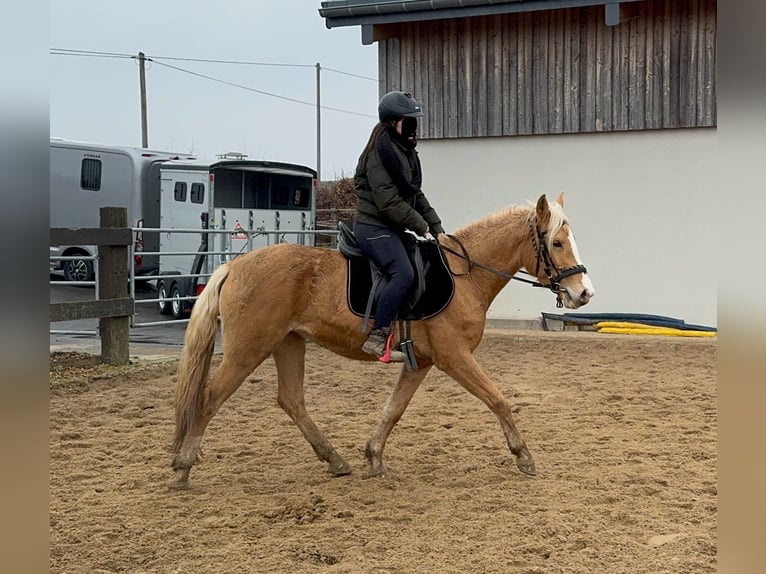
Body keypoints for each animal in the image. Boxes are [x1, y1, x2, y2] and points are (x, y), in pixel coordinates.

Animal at [171, 195, 596, 490]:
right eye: (557, 243)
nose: (584, 293)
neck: (464, 275)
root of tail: (233, 266)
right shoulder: (453, 356)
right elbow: (497, 398)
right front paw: (523, 456)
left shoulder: (422, 362)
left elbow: (394, 409)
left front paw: (374, 457)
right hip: (249, 348)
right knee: (210, 397)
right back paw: (183, 468)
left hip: (288, 343)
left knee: (291, 401)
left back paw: (335, 460)